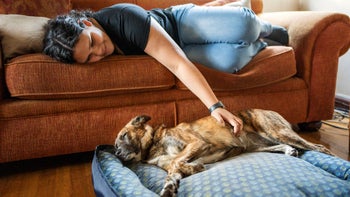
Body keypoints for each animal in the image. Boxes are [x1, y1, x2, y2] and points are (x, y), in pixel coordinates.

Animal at [114, 108, 334, 196]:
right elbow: (172, 173)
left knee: (320, 148)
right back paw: (290, 151)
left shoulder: (196, 143)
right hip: (258, 145)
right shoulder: (174, 164)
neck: (153, 145)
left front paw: (195, 167)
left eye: (123, 136)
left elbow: (177, 161)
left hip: (277, 132)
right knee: (280, 147)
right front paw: (170, 187)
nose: (117, 155)